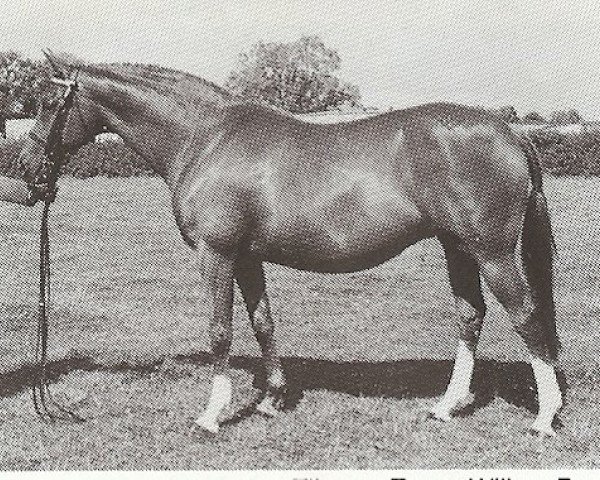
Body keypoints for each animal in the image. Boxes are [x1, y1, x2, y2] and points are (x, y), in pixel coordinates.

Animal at [17, 50, 564, 436]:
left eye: (49, 103)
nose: (26, 170)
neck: (205, 137)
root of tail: (509, 130)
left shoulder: (216, 254)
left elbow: (220, 331)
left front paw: (212, 415)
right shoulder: (247, 257)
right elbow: (263, 323)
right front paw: (271, 400)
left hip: (492, 253)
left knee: (527, 316)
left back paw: (544, 418)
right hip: (458, 247)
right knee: (470, 316)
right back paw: (447, 407)